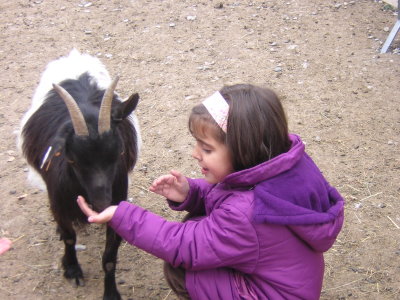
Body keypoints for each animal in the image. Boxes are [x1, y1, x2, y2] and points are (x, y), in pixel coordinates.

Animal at [18, 49, 141, 300]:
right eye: (72, 159)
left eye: (118, 153)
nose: (102, 203)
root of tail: (74, 56)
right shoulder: (59, 203)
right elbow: (68, 237)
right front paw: (72, 269)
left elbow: (110, 258)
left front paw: (111, 293)